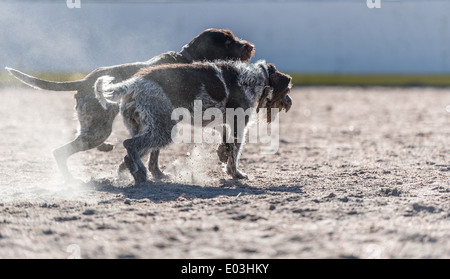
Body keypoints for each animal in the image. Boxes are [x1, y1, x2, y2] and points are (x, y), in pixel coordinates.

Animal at [95, 60, 292, 185]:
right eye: (287, 90)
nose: (290, 102)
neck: (255, 78)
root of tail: (133, 83)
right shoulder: (238, 123)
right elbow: (234, 153)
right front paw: (235, 173)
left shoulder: (222, 122)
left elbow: (226, 144)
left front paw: (222, 154)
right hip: (163, 130)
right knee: (130, 144)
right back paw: (140, 173)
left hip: (142, 126)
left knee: (130, 154)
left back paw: (130, 173)